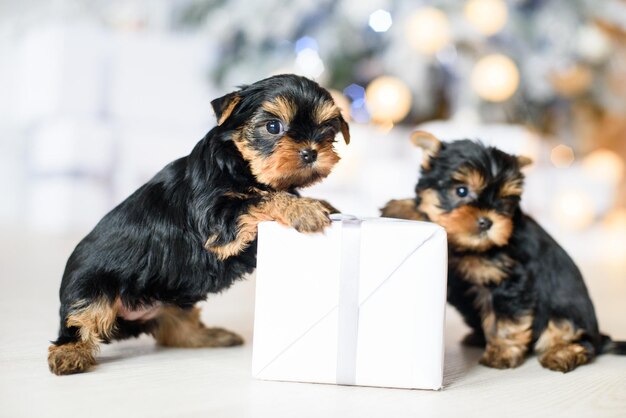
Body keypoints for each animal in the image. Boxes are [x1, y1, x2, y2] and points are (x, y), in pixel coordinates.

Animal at [47, 72, 352, 376]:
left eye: (327, 129)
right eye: (273, 126)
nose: (311, 152)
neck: (239, 164)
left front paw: (322, 204)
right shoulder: (217, 220)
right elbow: (263, 199)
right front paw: (304, 209)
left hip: (174, 299)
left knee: (175, 330)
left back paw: (212, 335)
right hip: (92, 289)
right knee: (81, 319)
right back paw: (69, 354)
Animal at [380, 131, 624, 372]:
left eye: (504, 201)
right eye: (461, 191)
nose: (487, 222)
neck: (471, 247)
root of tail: (601, 338)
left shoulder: (509, 279)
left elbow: (506, 320)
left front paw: (501, 354)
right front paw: (401, 207)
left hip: (566, 317)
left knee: (574, 338)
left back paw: (561, 353)